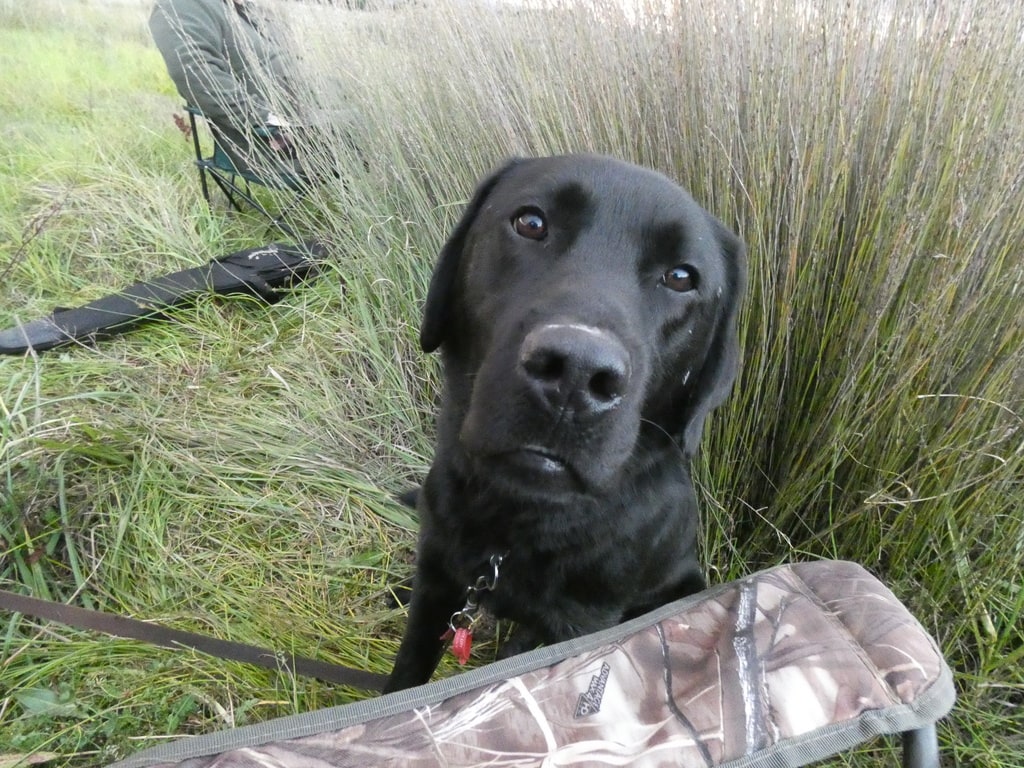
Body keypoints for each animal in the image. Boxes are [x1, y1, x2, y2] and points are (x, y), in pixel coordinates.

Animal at [385, 153, 745, 696]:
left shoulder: (583, 622)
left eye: (682, 276)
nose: (576, 373)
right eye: (531, 223)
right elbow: (406, 677)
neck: (513, 528)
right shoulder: (439, 579)